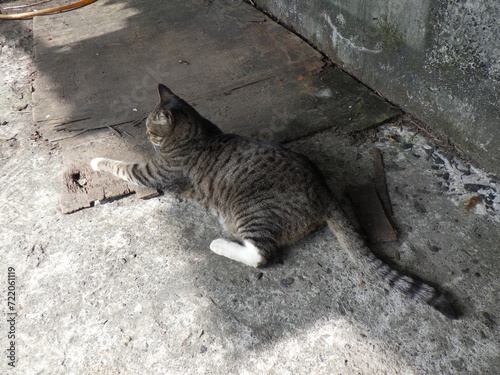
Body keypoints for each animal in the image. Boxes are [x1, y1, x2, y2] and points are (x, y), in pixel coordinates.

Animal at [91, 83, 460, 318]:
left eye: (149, 129)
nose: (144, 135)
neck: (198, 134)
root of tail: (325, 193)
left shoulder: (152, 173)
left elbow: (121, 165)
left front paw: (96, 161)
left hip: (252, 212)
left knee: (262, 255)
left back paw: (220, 244)